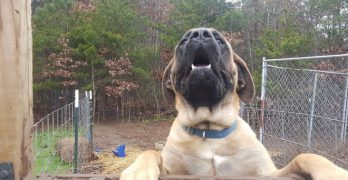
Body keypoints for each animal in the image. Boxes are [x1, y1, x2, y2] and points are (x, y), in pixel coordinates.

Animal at [120, 27, 348, 179]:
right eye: (183, 41)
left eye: (220, 41)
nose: (199, 34)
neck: (209, 130)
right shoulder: (172, 171)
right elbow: (150, 152)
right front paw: (137, 172)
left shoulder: (267, 173)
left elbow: (306, 156)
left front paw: (334, 172)